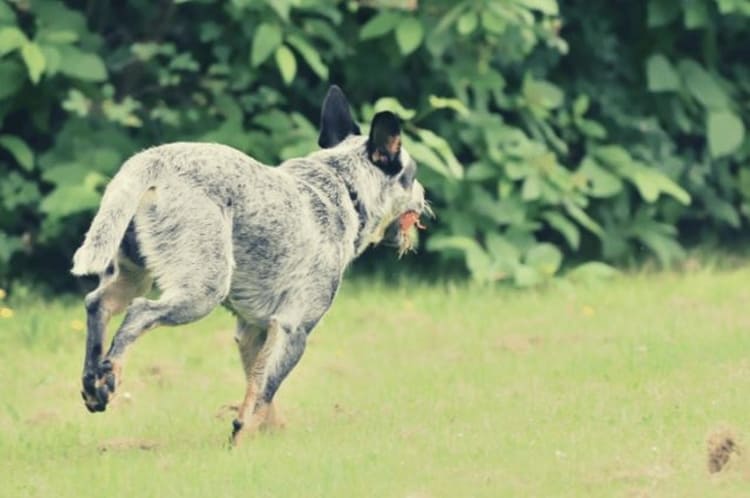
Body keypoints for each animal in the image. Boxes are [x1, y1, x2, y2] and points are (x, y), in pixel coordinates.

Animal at [73, 85, 432, 444]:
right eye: (412, 175)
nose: (425, 196)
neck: (344, 187)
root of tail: (152, 161)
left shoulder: (253, 331)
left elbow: (258, 391)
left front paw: (269, 434)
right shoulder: (293, 329)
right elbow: (264, 393)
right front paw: (242, 440)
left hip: (133, 274)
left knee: (98, 303)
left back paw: (94, 384)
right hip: (203, 291)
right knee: (138, 313)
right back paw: (111, 375)